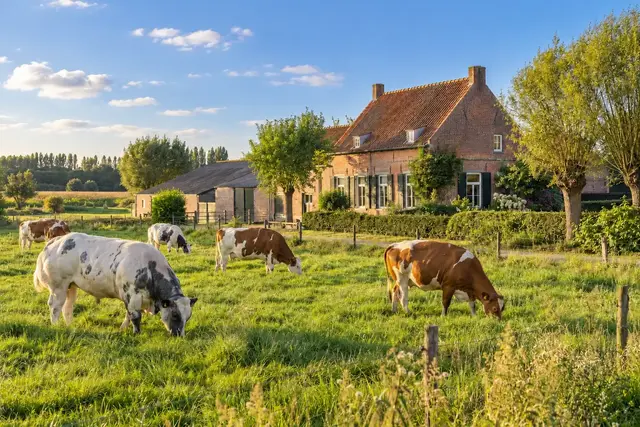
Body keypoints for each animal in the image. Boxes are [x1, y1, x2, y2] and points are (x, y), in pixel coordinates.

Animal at [33, 232, 198, 336]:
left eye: (188, 317)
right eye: (175, 314)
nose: (179, 335)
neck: (149, 267)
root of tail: (59, 239)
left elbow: (128, 316)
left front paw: (122, 329)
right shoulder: (132, 296)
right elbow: (135, 317)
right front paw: (136, 333)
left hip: (71, 286)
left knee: (67, 307)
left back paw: (69, 325)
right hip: (58, 286)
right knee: (55, 306)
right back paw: (56, 325)